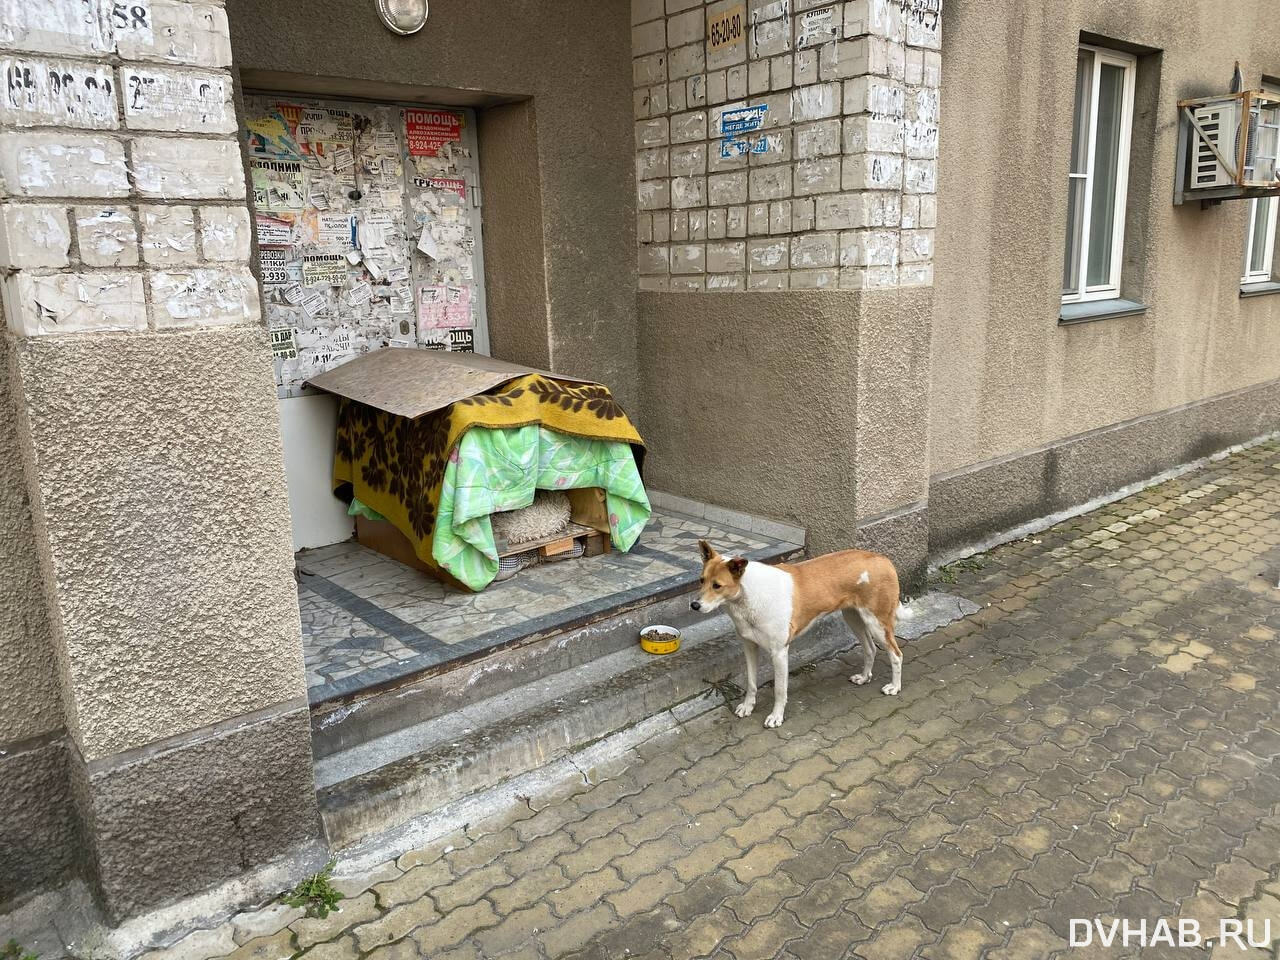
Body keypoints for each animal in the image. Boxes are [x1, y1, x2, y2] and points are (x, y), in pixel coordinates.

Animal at [696, 542, 906, 727]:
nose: (694, 605)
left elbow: (780, 690)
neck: (749, 595)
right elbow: (751, 682)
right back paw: (864, 677)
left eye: (717, 585)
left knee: (896, 655)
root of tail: (882, 558)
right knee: (870, 649)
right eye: (701, 580)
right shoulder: (749, 646)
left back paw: (894, 687)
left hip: (877, 624)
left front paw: (776, 717)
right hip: (853, 618)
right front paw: (748, 706)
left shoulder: (779, 653)